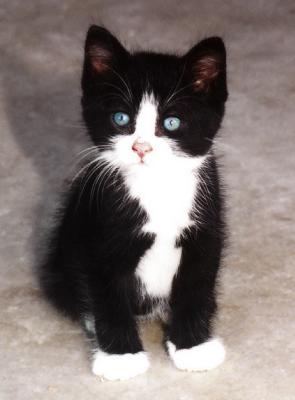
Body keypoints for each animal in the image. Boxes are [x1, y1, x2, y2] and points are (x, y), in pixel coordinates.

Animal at [39, 25, 229, 382]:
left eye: (171, 123)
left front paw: (193, 347)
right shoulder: (100, 233)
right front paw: (120, 357)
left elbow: (197, 283)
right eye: (120, 117)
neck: (155, 189)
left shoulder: (206, 229)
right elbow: (107, 293)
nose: (141, 148)